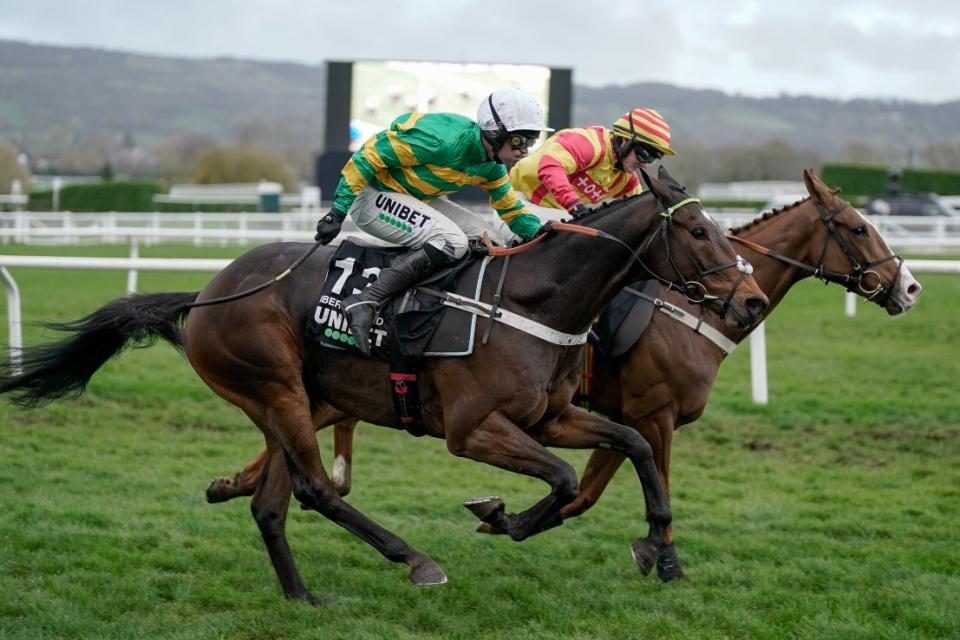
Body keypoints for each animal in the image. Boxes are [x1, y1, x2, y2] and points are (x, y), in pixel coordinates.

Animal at [0, 166, 764, 604]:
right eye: (699, 231)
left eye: (725, 229)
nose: (751, 302)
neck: (533, 299)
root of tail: (209, 292)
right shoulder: (472, 430)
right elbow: (564, 478)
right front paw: (502, 516)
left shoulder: (552, 417)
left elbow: (632, 446)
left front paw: (658, 549)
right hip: (274, 386)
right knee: (315, 490)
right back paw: (413, 559)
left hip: (291, 400)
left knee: (273, 504)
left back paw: (301, 596)